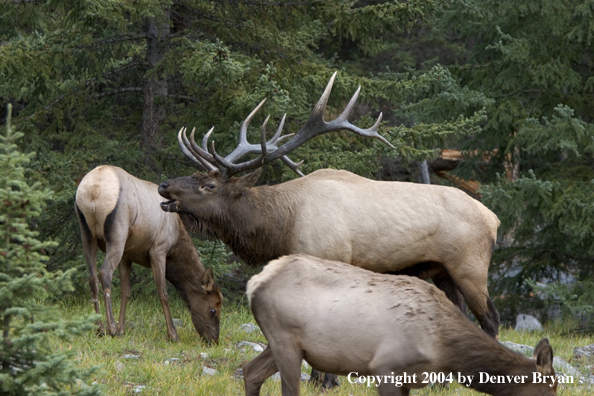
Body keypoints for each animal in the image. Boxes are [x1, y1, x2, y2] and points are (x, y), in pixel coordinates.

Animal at [74, 166, 222, 342]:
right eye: (213, 309)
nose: (213, 339)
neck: (177, 238)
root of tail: (94, 190)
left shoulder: (127, 256)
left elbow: (126, 292)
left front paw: (122, 329)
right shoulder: (158, 250)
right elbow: (163, 293)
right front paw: (173, 335)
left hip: (87, 234)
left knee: (92, 278)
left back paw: (100, 328)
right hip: (117, 233)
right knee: (105, 273)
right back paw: (110, 328)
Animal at [158, 72, 500, 338]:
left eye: (208, 186)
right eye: (195, 175)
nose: (164, 185)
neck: (282, 226)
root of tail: (494, 219)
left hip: (470, 266)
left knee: (491, 319)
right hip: (442, 270)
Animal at [240, 255, 556, 394]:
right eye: (549, 389)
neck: (445, 350)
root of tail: (254, 282)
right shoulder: (386, 368)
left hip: (285, 343)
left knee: (251, 371)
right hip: (286, 341)